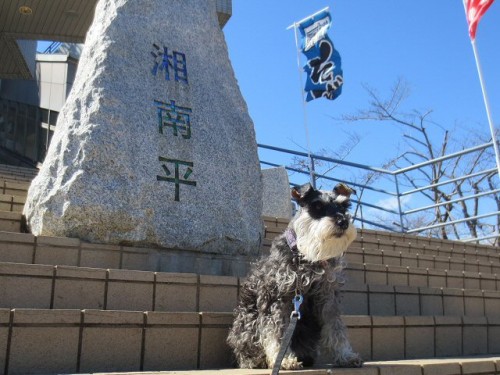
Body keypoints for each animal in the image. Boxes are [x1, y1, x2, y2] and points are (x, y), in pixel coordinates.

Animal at [228, 182, 364, 370]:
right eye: (317, 206)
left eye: (344, 206)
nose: (342, 222)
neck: (306, 255)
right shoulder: (275, 299)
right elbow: (276, 331)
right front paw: (284, 360)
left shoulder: (327, 297)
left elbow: (335, 326)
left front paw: (345, 355)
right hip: (249, 323)